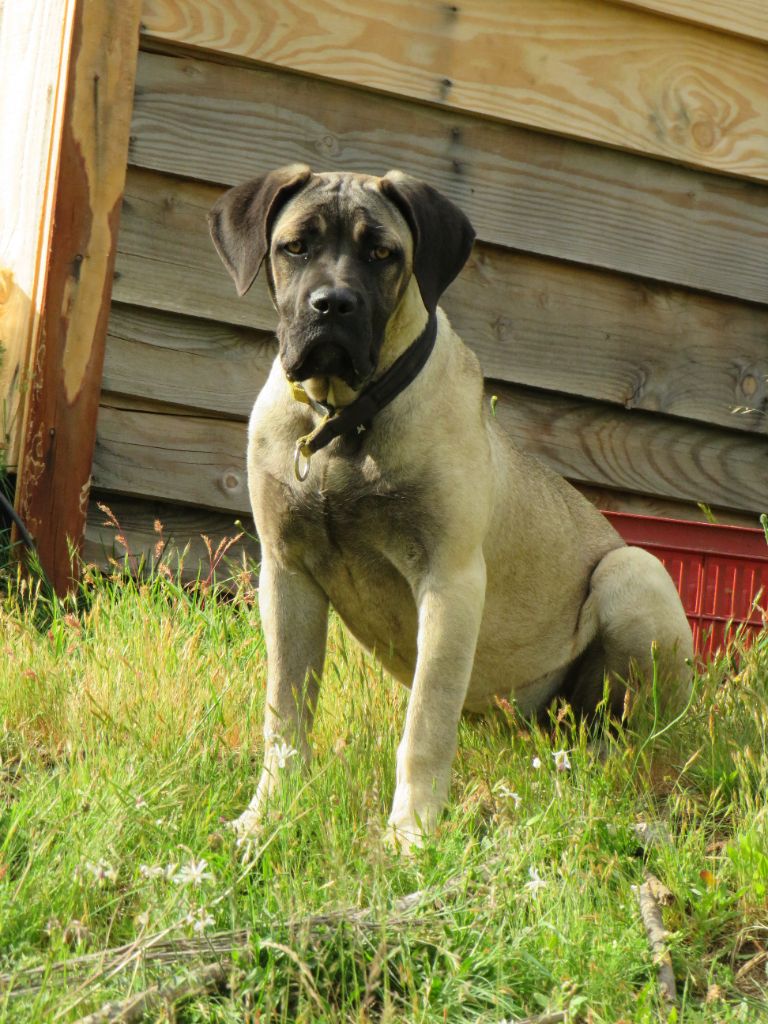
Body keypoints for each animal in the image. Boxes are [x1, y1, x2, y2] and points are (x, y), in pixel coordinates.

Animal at [207, 163, 696, 843]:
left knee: (629, 727)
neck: (343, 423)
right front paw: (265, 815)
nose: (332, 305)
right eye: (295, 247)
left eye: (382, 254)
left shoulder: (449, 579)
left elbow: (426, 724)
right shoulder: (287, 574)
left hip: (634, 571)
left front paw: (410, 833)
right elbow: (284, 713)